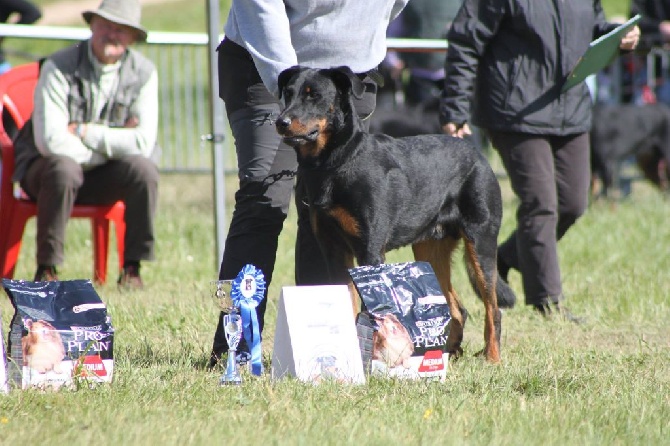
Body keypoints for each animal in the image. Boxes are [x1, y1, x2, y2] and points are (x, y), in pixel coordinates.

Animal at [276, 67, 516, 366]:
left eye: (314, 95)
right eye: (288, 93)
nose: (281, 122)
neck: (334, 163)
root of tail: (478, 155)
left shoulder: (369, 250)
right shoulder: (332, 249)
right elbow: (348, 300)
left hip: (481, 241)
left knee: (492, 308)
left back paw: (492, 358)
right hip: (430, 249)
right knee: (456, 308)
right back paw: (445, 354)